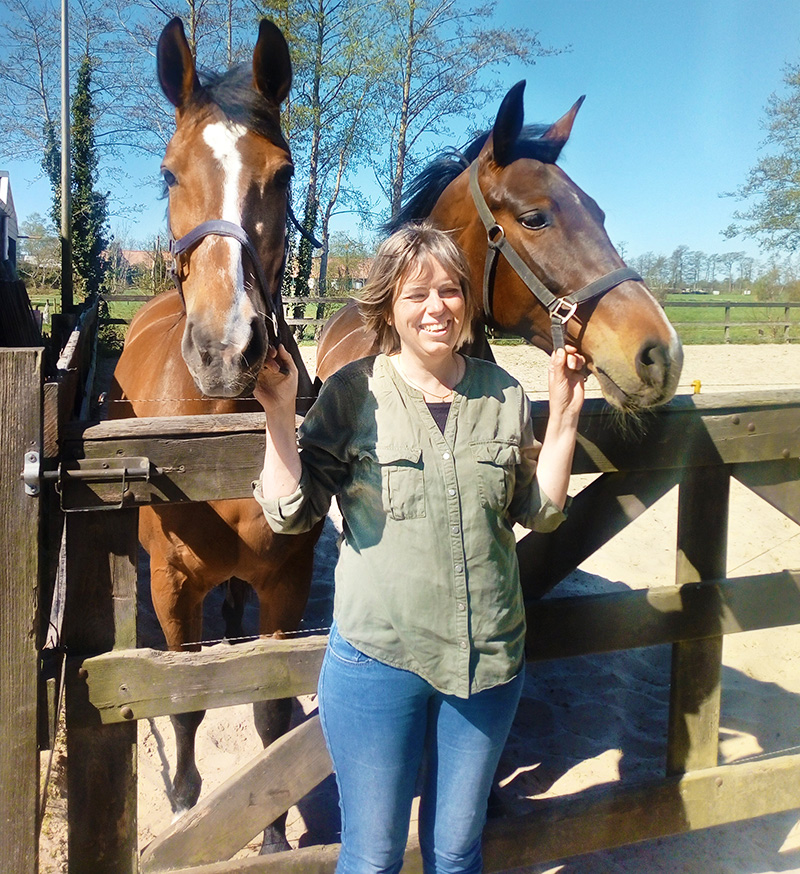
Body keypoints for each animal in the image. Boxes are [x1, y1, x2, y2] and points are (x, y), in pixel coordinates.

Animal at [108, 17, 322, 848]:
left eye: (285, 173)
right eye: (170, 175)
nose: (227, 347)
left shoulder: (288, 587)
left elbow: (272, 706)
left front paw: (273, 831)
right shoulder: (171, 589)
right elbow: (186, 702)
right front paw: (186, 805)